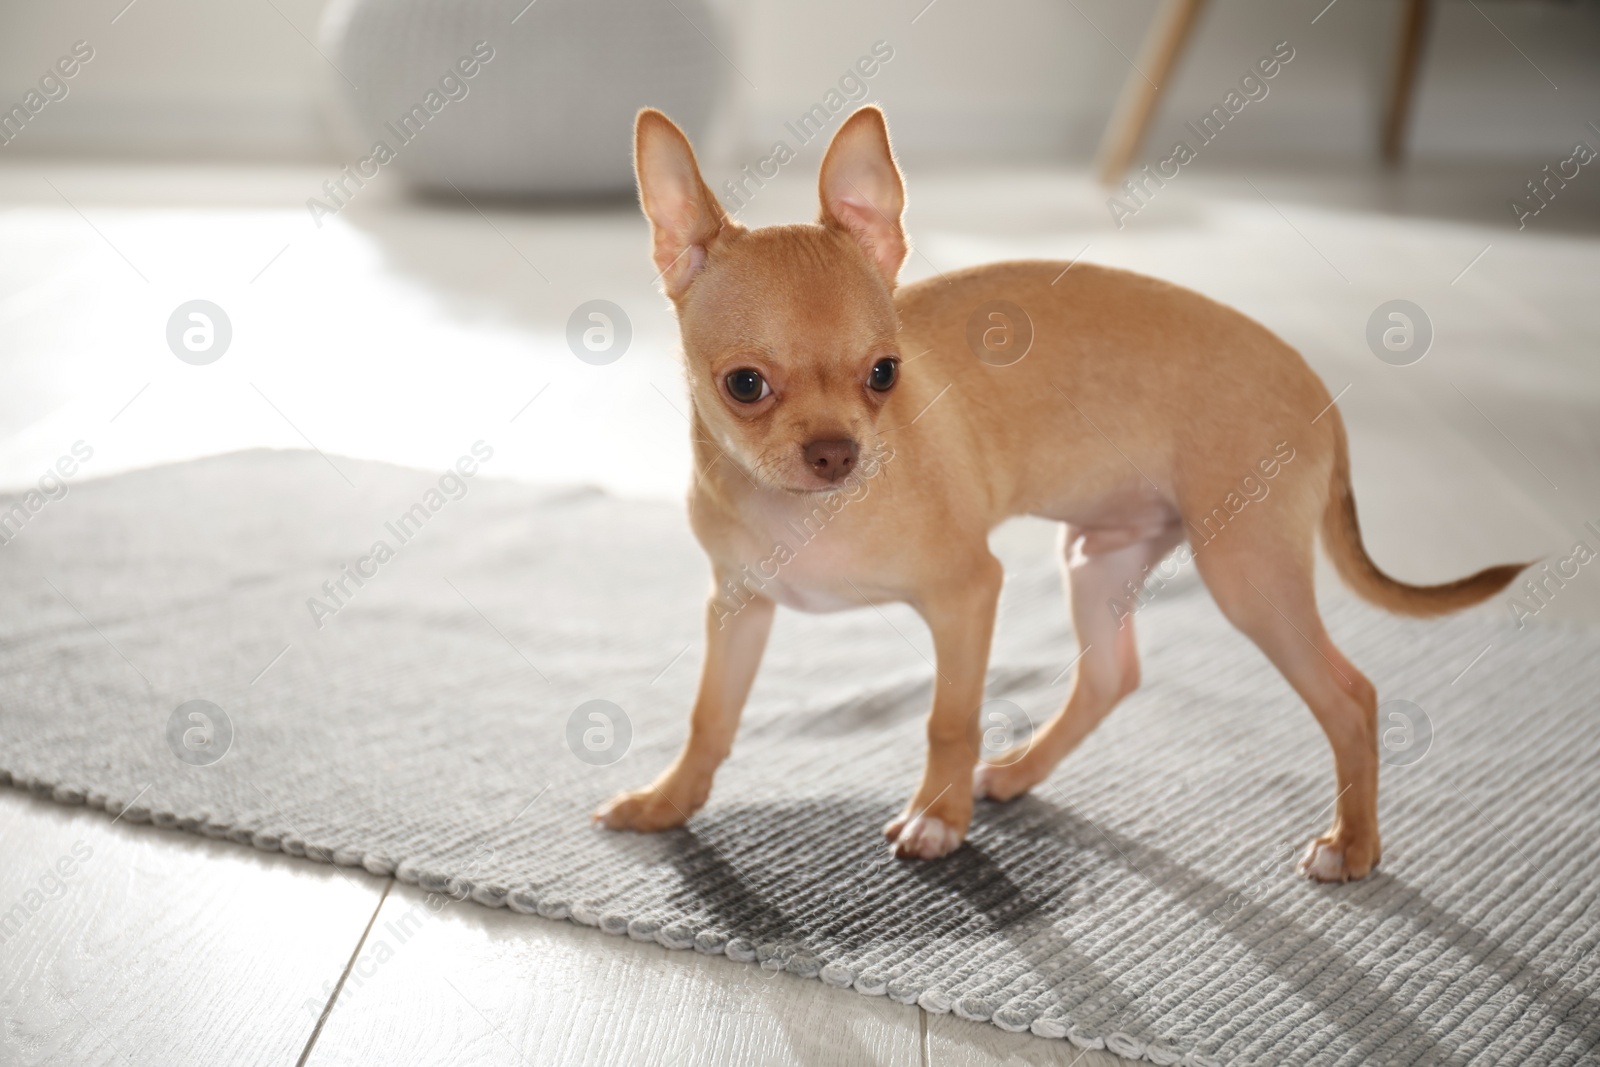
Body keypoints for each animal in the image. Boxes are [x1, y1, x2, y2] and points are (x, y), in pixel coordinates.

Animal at [598, 106, 1523, 883]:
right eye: (744, 385)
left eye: (885, 374)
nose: (836, 452)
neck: (803, 512)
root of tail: (1318, 387)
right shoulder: (739, 606)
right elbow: (709, 717)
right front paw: (669, 801)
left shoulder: (969, 594)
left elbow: (949, 717)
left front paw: (938, 818)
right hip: (1099, 556)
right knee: (1114, 676)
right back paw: (1017, 772)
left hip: (1246, 574)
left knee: (1352, 695)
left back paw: (1353, 843)